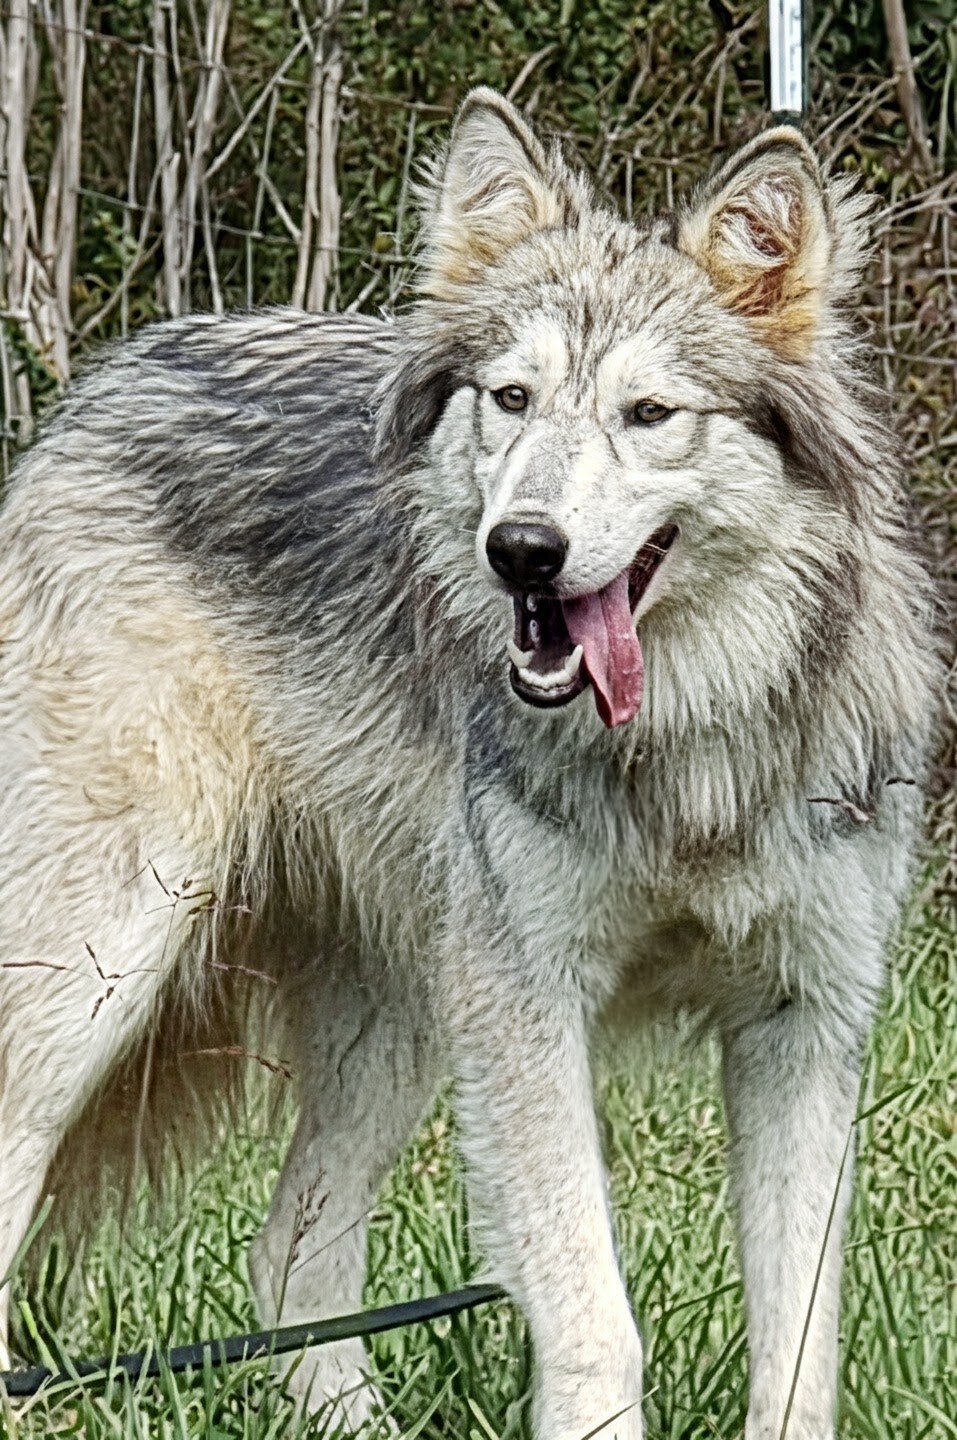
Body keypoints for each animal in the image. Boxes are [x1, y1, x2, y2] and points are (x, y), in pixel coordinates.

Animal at [0, 89, 936, 1439]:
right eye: (511, 398)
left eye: (650, 416)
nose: (523, 551)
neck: (684, 756)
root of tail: (102, 385)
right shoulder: (529, 1008)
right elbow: (597, 1326)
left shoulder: (801, 1026)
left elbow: (801, 1353)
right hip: (104, 971)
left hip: (396, 1025)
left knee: (289, 1256)